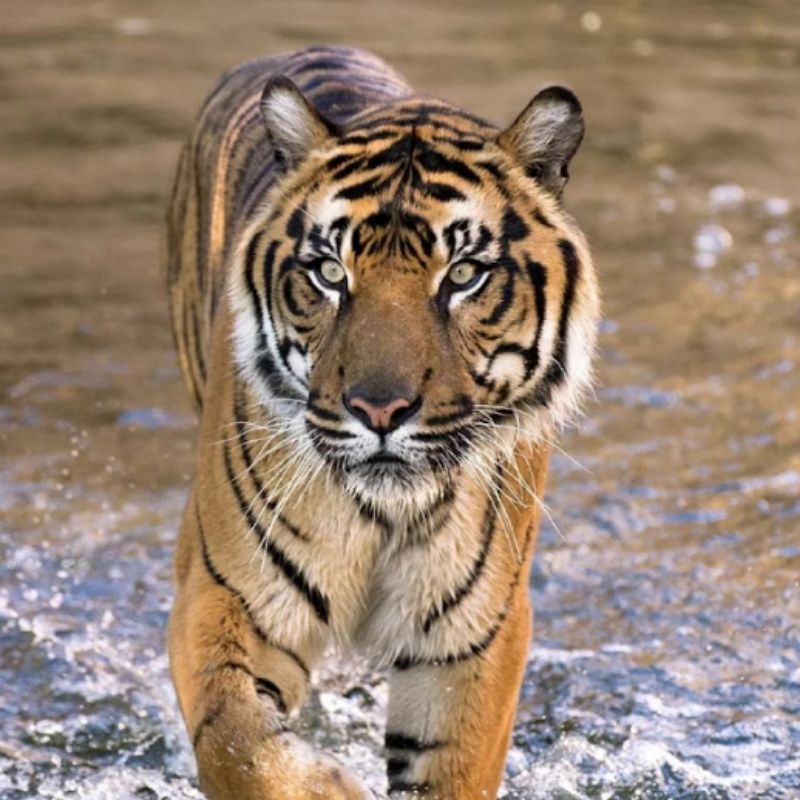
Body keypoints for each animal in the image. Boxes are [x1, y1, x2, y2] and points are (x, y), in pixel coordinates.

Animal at [165, 45, 599, 800]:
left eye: (464, 275)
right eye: (330, 273)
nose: (380, 410)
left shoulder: (472, 637)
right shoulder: (224, 591)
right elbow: (237, 743)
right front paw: (328, 786)